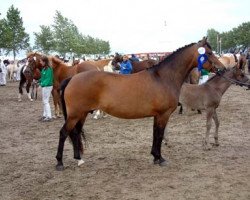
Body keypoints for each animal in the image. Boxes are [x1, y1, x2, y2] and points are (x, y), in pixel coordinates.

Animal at [55, 36, 226, 170]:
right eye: (209, 53)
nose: (223, 69)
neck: (163, 78)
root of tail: (72, 78)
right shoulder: (163, 115)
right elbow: (160, 134)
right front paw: (160, 158)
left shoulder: (157, 115)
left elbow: (155, 134)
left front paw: (155, 157)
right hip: (75, 115)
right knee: (64, 133)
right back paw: (60, 163)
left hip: (82, 114)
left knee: (75, 133)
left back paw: (79, 159)